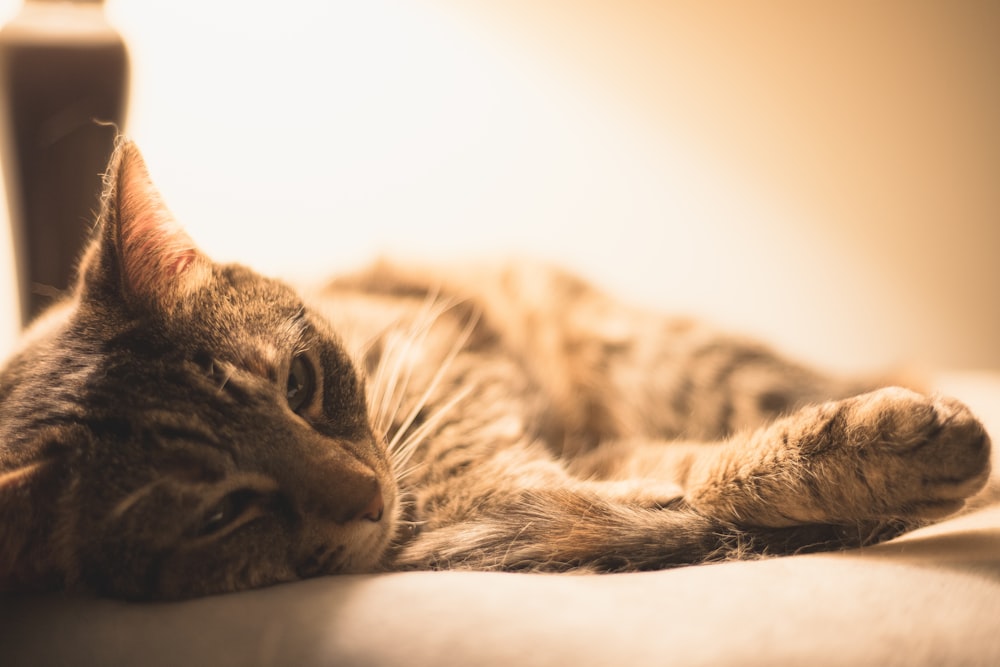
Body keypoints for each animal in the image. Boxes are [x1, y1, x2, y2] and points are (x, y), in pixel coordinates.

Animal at [0, 141, 988, 600]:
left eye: (300, 383)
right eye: (218, 514)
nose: (369, 495)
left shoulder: (448, 367)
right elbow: (676, 485)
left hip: (661, 351)